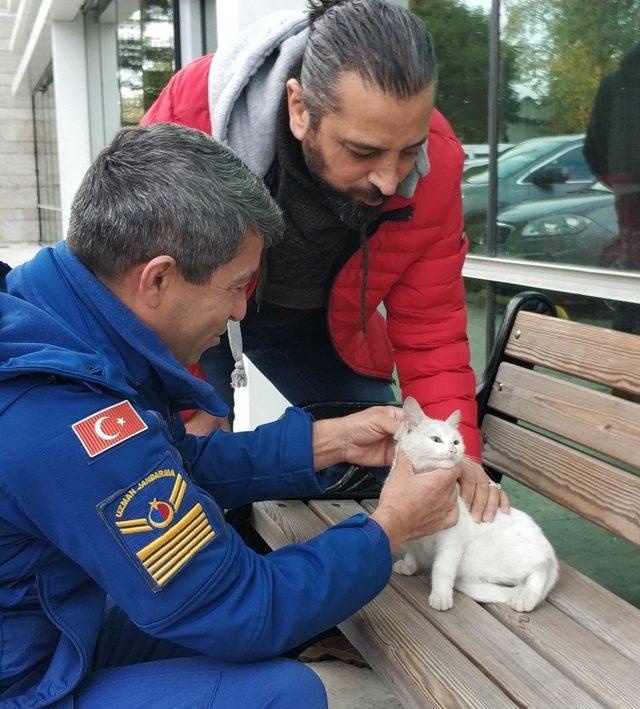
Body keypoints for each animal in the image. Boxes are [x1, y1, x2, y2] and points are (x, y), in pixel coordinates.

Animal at [392, 396, 556, 612]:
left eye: (456, 441)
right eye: (436, 439)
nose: (453, 450)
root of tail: (549, 550)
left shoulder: (451, 542)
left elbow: (442, 569)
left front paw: (441, 595)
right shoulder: (411, 532)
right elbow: (412, 551)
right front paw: (408, 565)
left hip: (474, 557)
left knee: (540, 569)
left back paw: (526, 598)